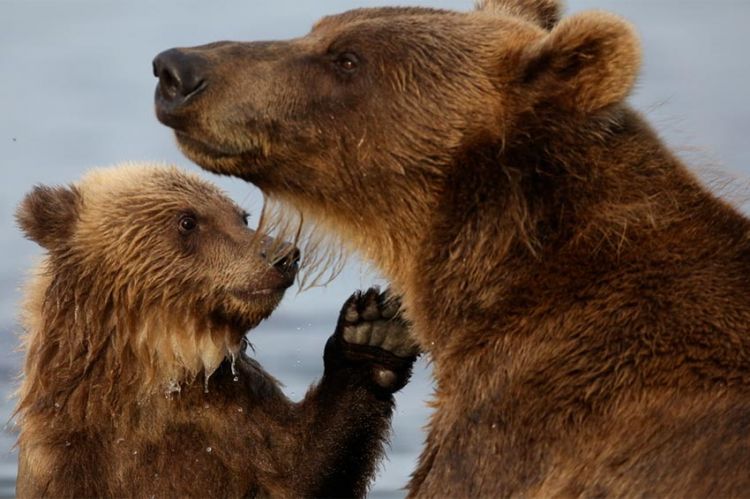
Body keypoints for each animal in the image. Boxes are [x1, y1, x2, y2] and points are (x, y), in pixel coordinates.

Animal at [14, 165, 420, 499]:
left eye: (241, 215)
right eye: (188, 220)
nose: (283, 254)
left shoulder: (232, 418)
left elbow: (300, 468)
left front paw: (373, 333)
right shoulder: (71, 453)